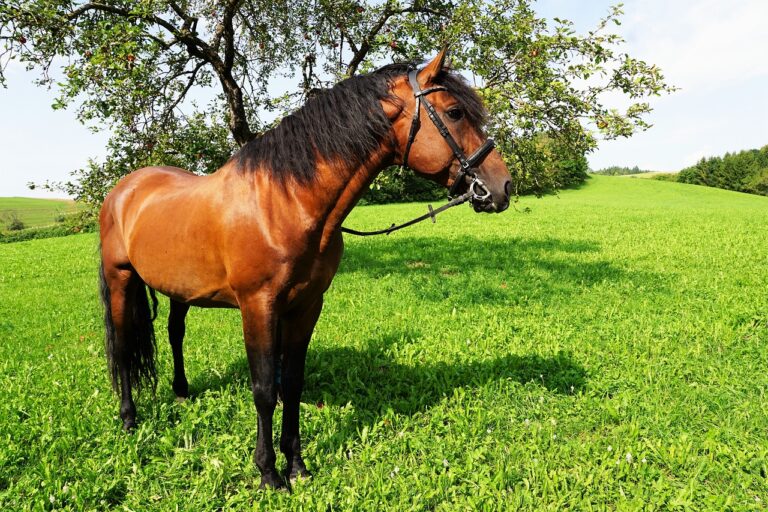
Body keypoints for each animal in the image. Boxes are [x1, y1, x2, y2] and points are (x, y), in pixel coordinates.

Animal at [99, 50, 512, 490]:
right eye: (454, 113)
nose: (502, 186)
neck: (286, 201)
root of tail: (123, 190)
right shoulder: (258, 306)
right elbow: (265, 389)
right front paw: (268, 472)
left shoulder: (307, 305)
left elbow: (292, 383)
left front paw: (296, 465)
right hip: (121, 280)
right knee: (122, 348)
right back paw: (129, 419)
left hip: (181, 290)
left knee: (175, 333)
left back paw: (181, 391)